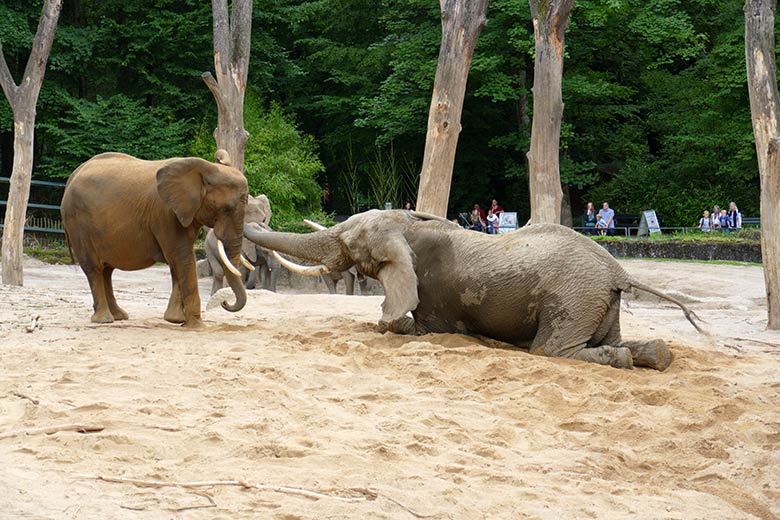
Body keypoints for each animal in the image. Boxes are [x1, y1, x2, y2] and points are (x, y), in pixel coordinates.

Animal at [61, 148, 247, 328]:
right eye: (225, 209)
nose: (225, 302)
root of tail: (74, 174)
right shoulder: (165, 214)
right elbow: (182, 257)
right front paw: (196, 325)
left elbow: (178, 261)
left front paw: (175, 319)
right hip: (78, 224)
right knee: (94, 269)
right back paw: (104, 320)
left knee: (107, 270)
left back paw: (119, 316)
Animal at [247, 209, 704, 372]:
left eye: (348, 242)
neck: (407, 225)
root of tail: (617, 271)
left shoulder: (432, 291)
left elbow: (412, 327)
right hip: (599, 301)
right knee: (633, 343)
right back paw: (654, 355)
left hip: (572, 296)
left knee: (550, 351)